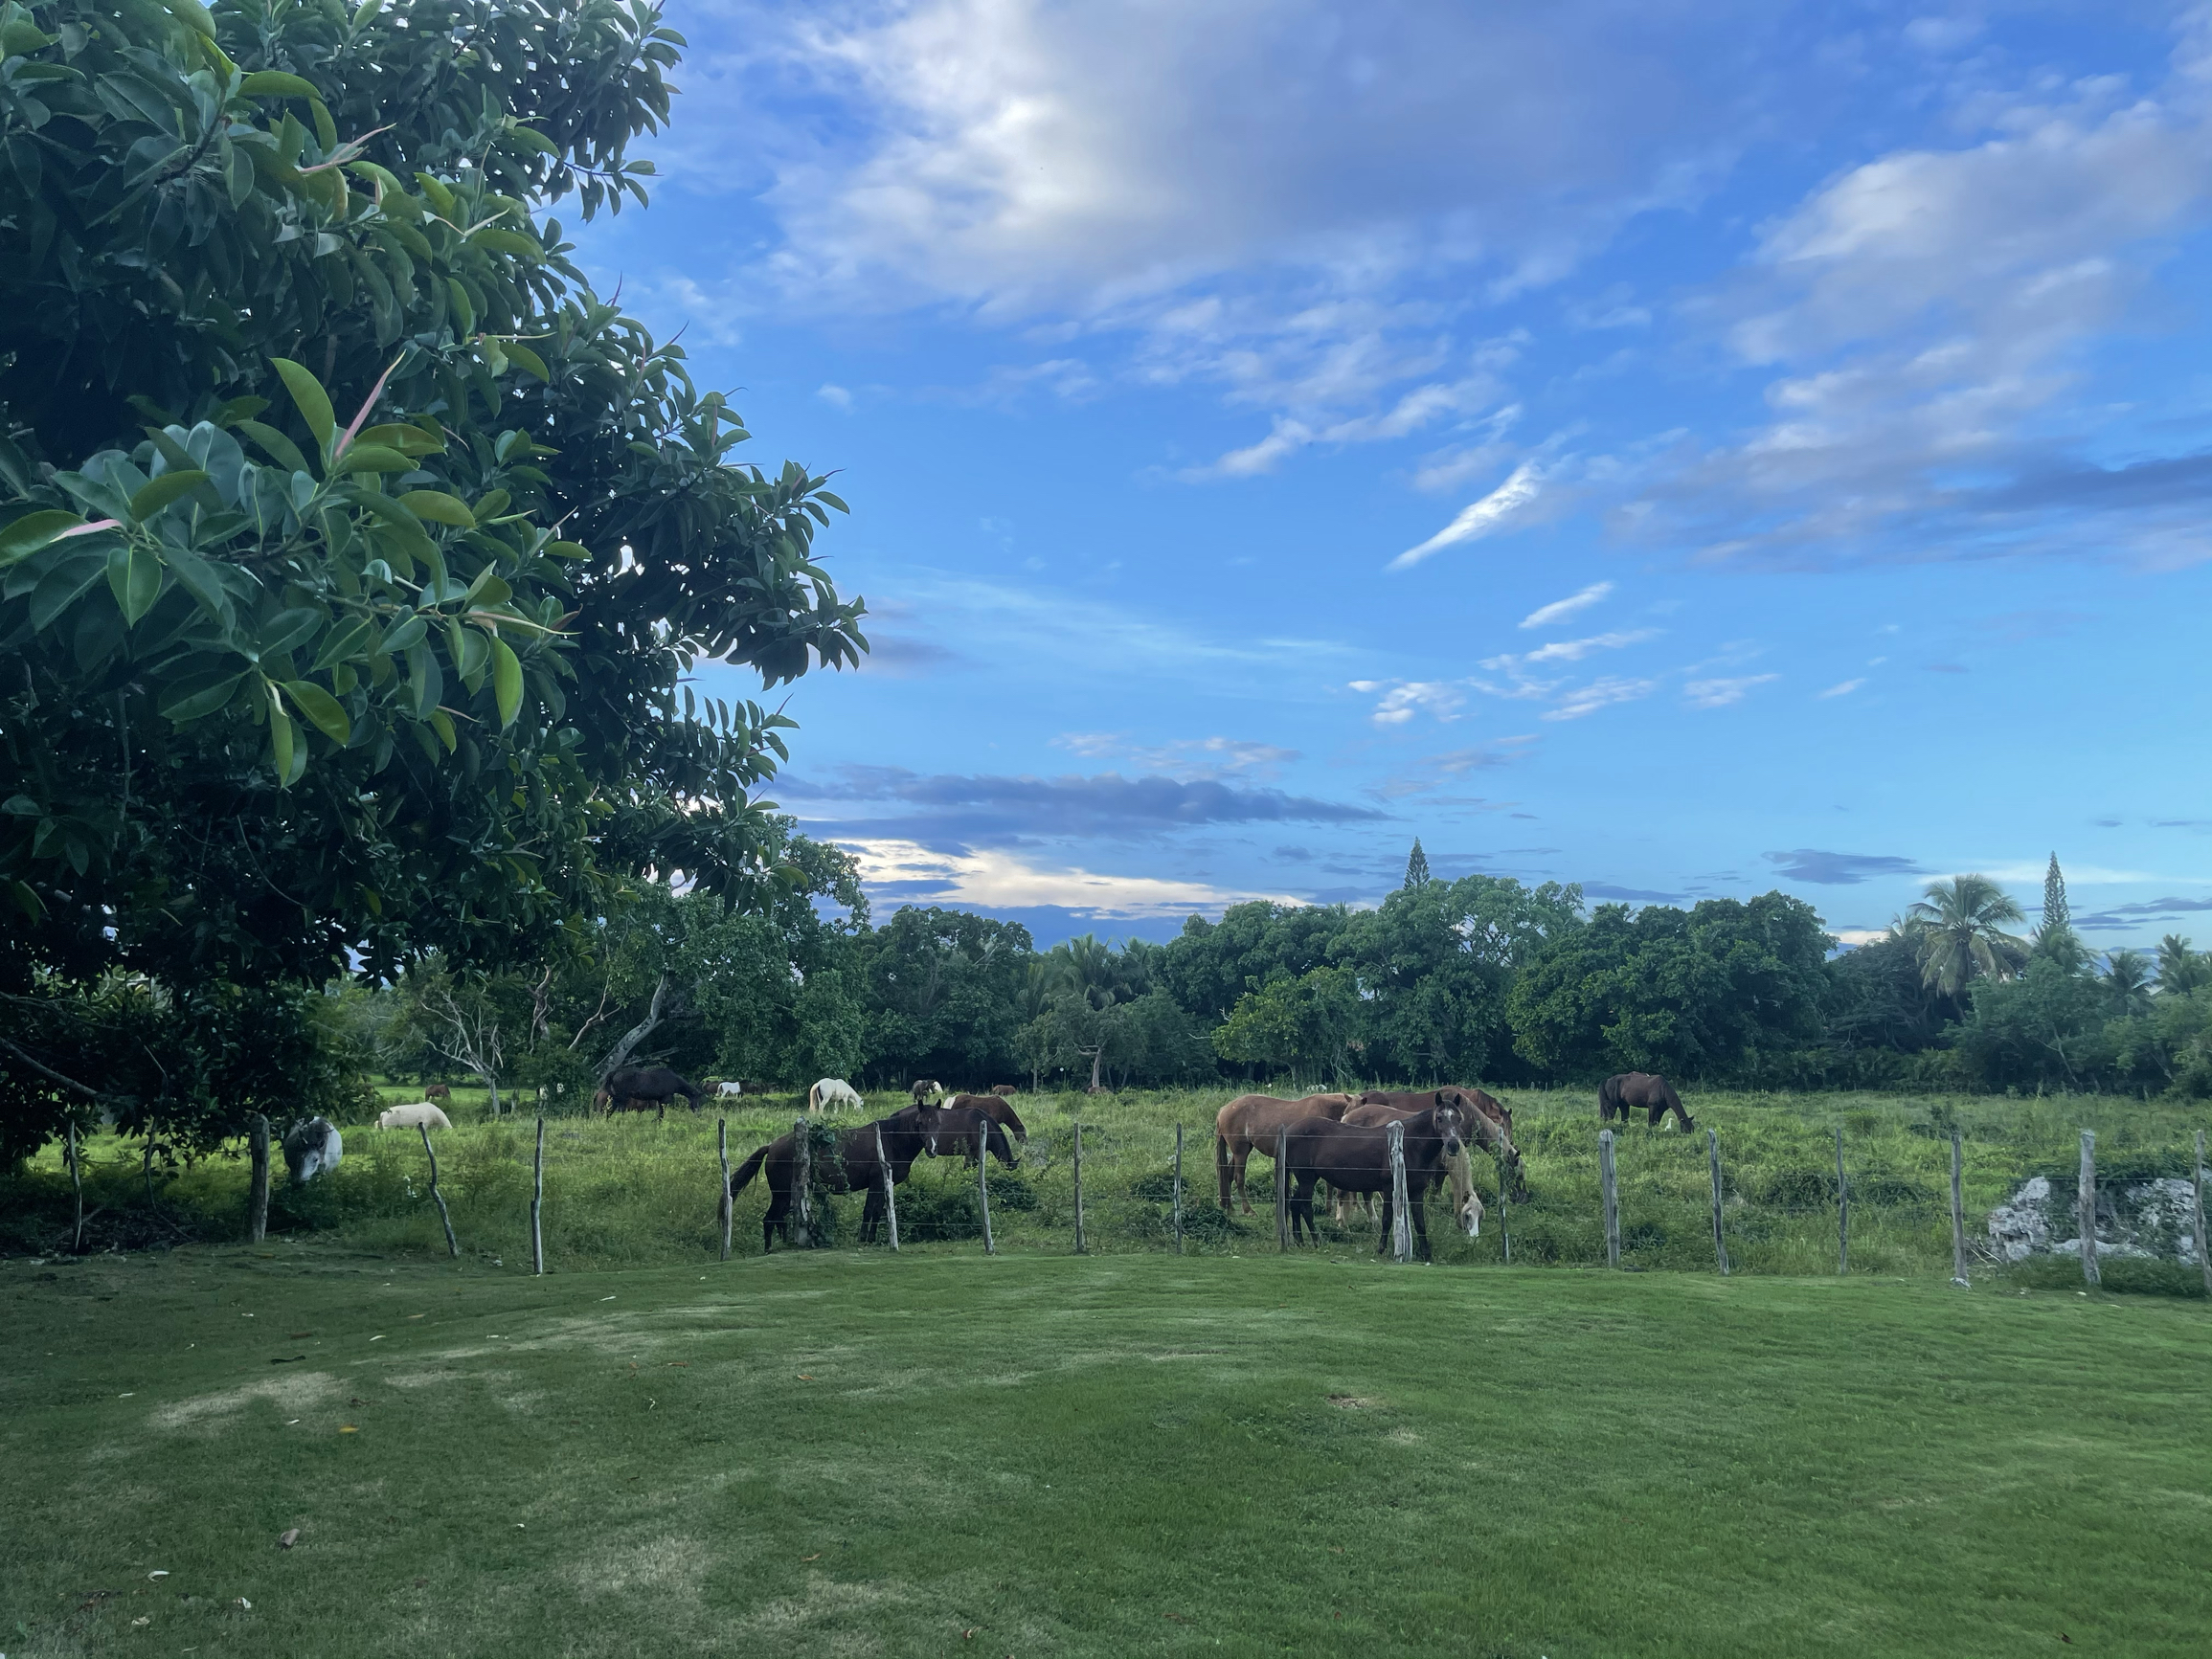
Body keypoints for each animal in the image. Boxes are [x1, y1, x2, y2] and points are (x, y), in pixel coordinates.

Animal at [1211, 1097, 1362, 1212]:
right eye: (1347, 1112)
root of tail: (1224, 1109)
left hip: (1242, 1151)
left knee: (1228, 1175)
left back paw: (1228, 1206)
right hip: (1240, 1152)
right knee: (1238, 1178)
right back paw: (1248, 1210)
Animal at [1282, 1106, 1468, 1256]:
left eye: (1459, 1118)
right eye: (1439, 1118)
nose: (1453, 1145)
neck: (1408, 1144)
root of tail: (1289, 1131)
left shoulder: (1417, 1191)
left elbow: (1420, 1222)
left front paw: (1426, 1253)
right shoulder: (1389, 1188)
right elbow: (1387, 1220)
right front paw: (1381, 1249)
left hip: (1308, 1179)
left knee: (1294, 1204)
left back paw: (1299, 1241)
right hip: (1306, 1179)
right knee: (1306, 1208)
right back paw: (1316, 1241)